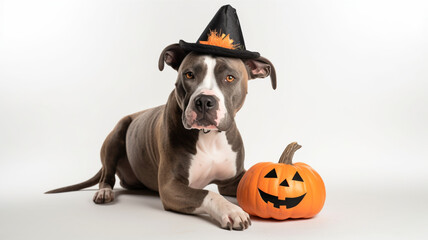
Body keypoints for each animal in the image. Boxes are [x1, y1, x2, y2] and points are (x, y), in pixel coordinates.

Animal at [46, 43, 278, 231]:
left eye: (230, 77)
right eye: (189, 74)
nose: (204, 101)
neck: (208, 137)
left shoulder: (234, 178)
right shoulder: (170, 187)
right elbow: (208, 193)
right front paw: (232, 210)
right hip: (117, 133)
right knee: (107, 175)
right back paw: (104, 192)